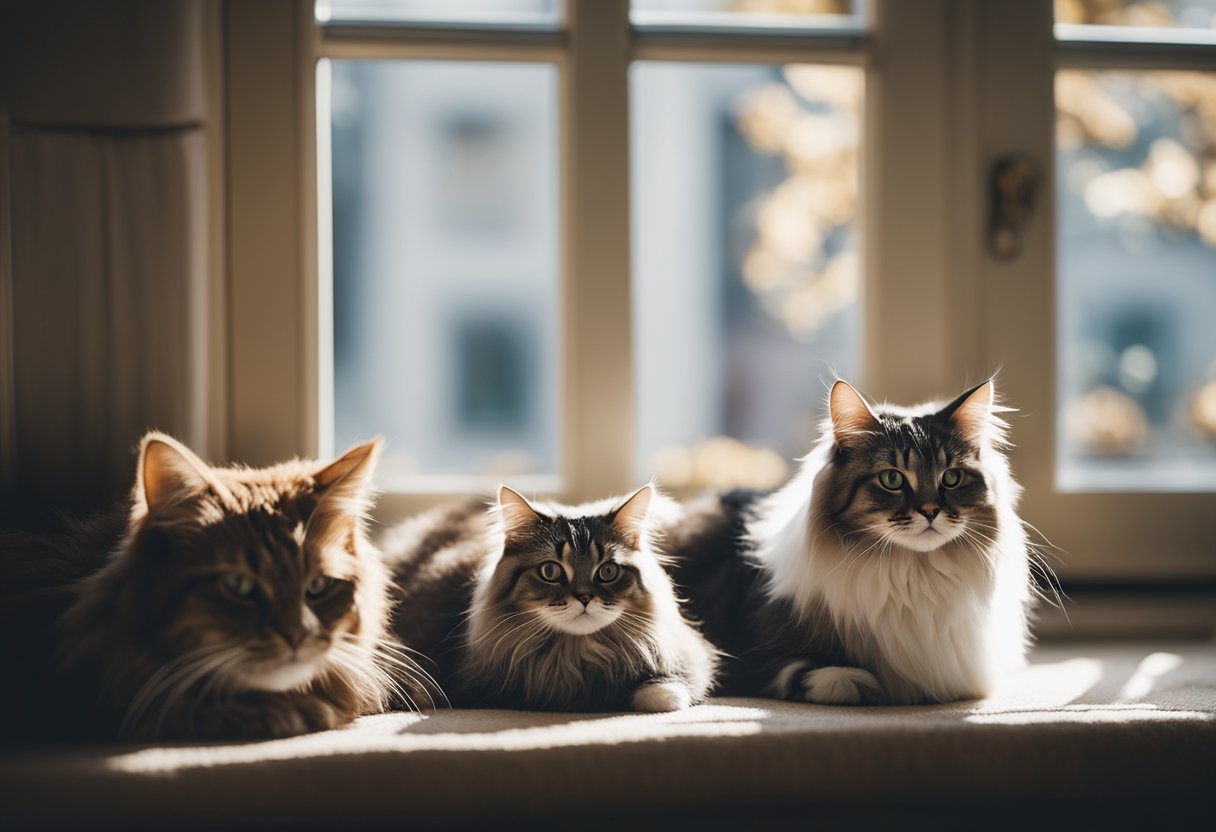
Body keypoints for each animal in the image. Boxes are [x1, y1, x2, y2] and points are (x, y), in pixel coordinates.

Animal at [384, 484, 715, 710]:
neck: (575, 655)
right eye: (550, 571)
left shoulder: (689, 660)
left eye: (607, 571)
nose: (584, 597)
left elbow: (666, 693)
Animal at [666, 379, 1036, 705]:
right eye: (892, 479)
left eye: (952, 478)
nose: (931, 511)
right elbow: (827, 675)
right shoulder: (755, 656)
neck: (912, 574)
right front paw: (869, 686)